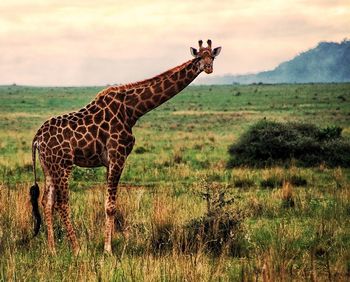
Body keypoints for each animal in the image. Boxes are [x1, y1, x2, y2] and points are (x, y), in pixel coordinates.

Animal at [29, 38, 221, 254]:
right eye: (198, 57)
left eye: (212, 57)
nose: (208, 68)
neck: (132, 110)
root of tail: (37, 138)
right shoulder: (118, 155)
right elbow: (110, 206)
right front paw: (108, 250)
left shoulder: (109, 161)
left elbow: (109, 203)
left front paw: (108, 244)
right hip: (63, 164)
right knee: (62, 203)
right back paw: (77, 249)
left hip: (48, 166)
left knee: (47, 202)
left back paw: (52, 249)